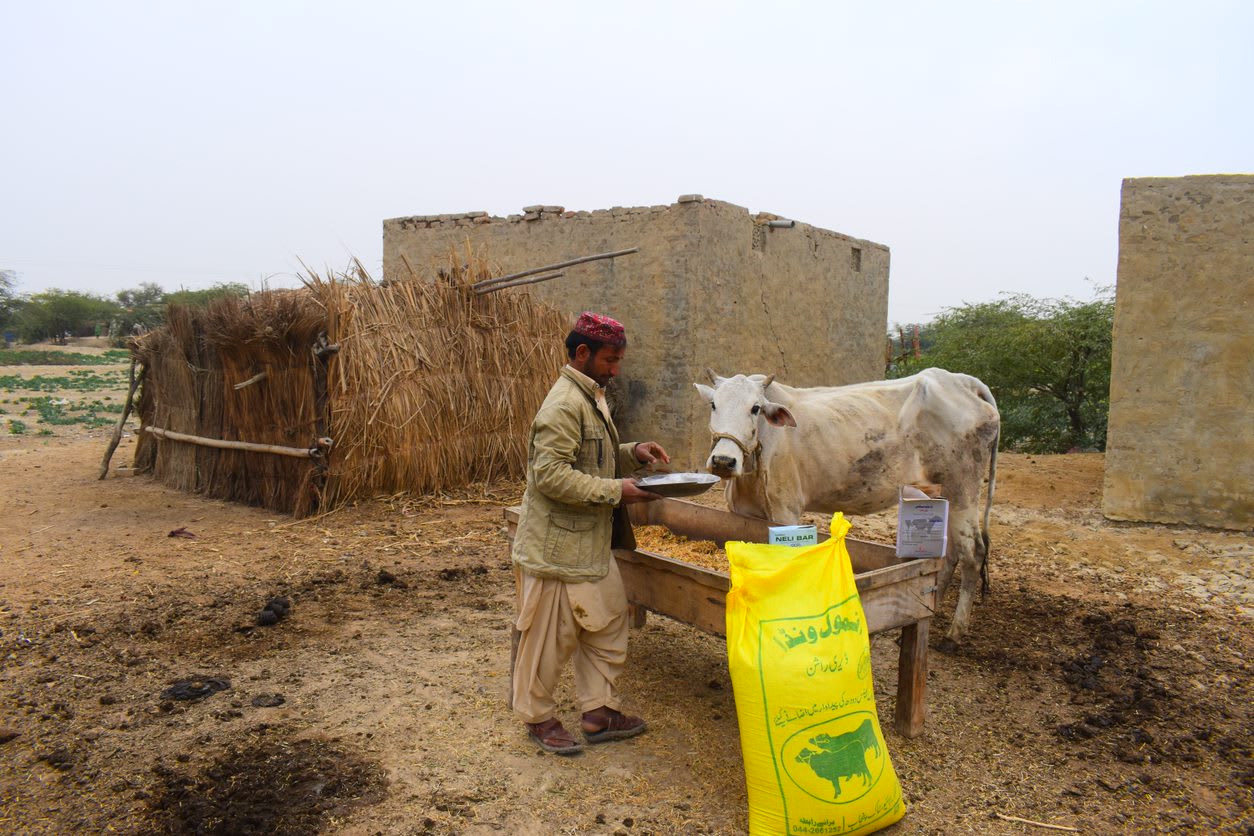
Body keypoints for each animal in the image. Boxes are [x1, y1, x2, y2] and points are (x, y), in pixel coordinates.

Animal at [697, 365, 998, 646]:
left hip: (963, 487)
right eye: (713, 404)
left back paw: (954, 634)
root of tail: (965, 382)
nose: (723, 461)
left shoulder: (786, 510)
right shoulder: (742, 511)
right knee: (950, 552)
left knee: (972, 552)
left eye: (755, 408)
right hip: (944, 494)